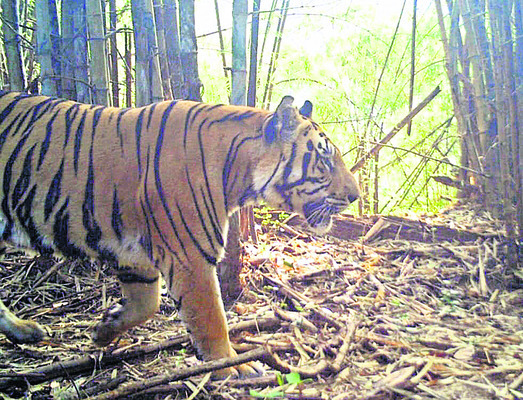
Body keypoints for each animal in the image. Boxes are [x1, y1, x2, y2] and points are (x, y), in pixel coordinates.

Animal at [0, 90, 360, 376]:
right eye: (325, 160)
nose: (355, 196)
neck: (238, 175)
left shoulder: (135, 255)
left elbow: (145, 304)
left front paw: (104, 329)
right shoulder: (190, 258)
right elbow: (212, 319)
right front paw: (233, 366)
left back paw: (24, 331)